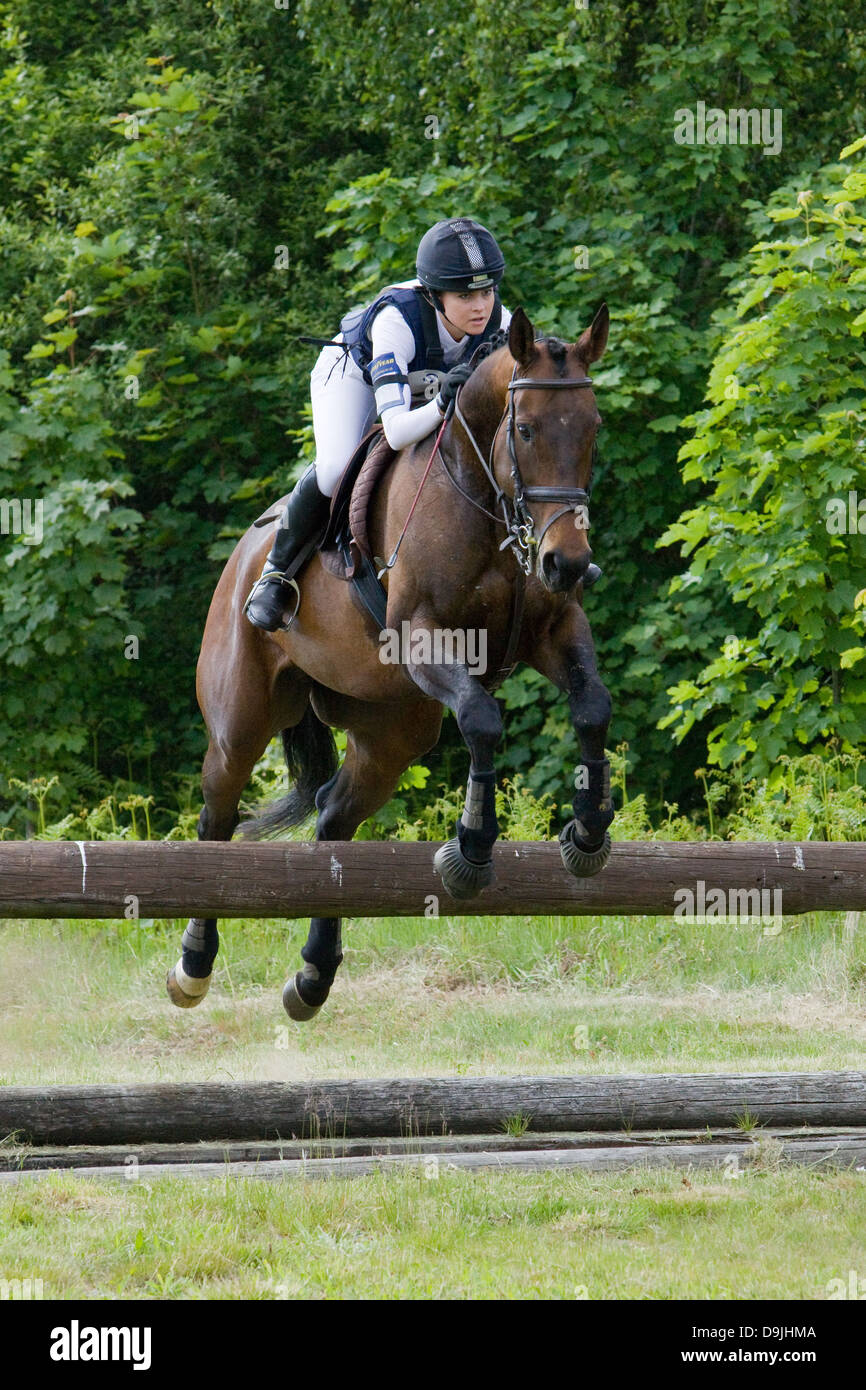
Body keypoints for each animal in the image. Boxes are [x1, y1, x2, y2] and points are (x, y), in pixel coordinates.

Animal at [167, 304, 617, 1023]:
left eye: (593, 428)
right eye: (524, 428)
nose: (568, 563)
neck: (487, 501)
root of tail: (241, 556)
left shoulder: (554, 629)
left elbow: (592, 706)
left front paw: (589, 832)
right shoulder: (422, 636)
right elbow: (483, 719)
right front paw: (471, 851)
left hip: (393, 732)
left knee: (333, 820)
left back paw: (313, 977)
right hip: (241, 721)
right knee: (217, 817)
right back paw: (193, 965)